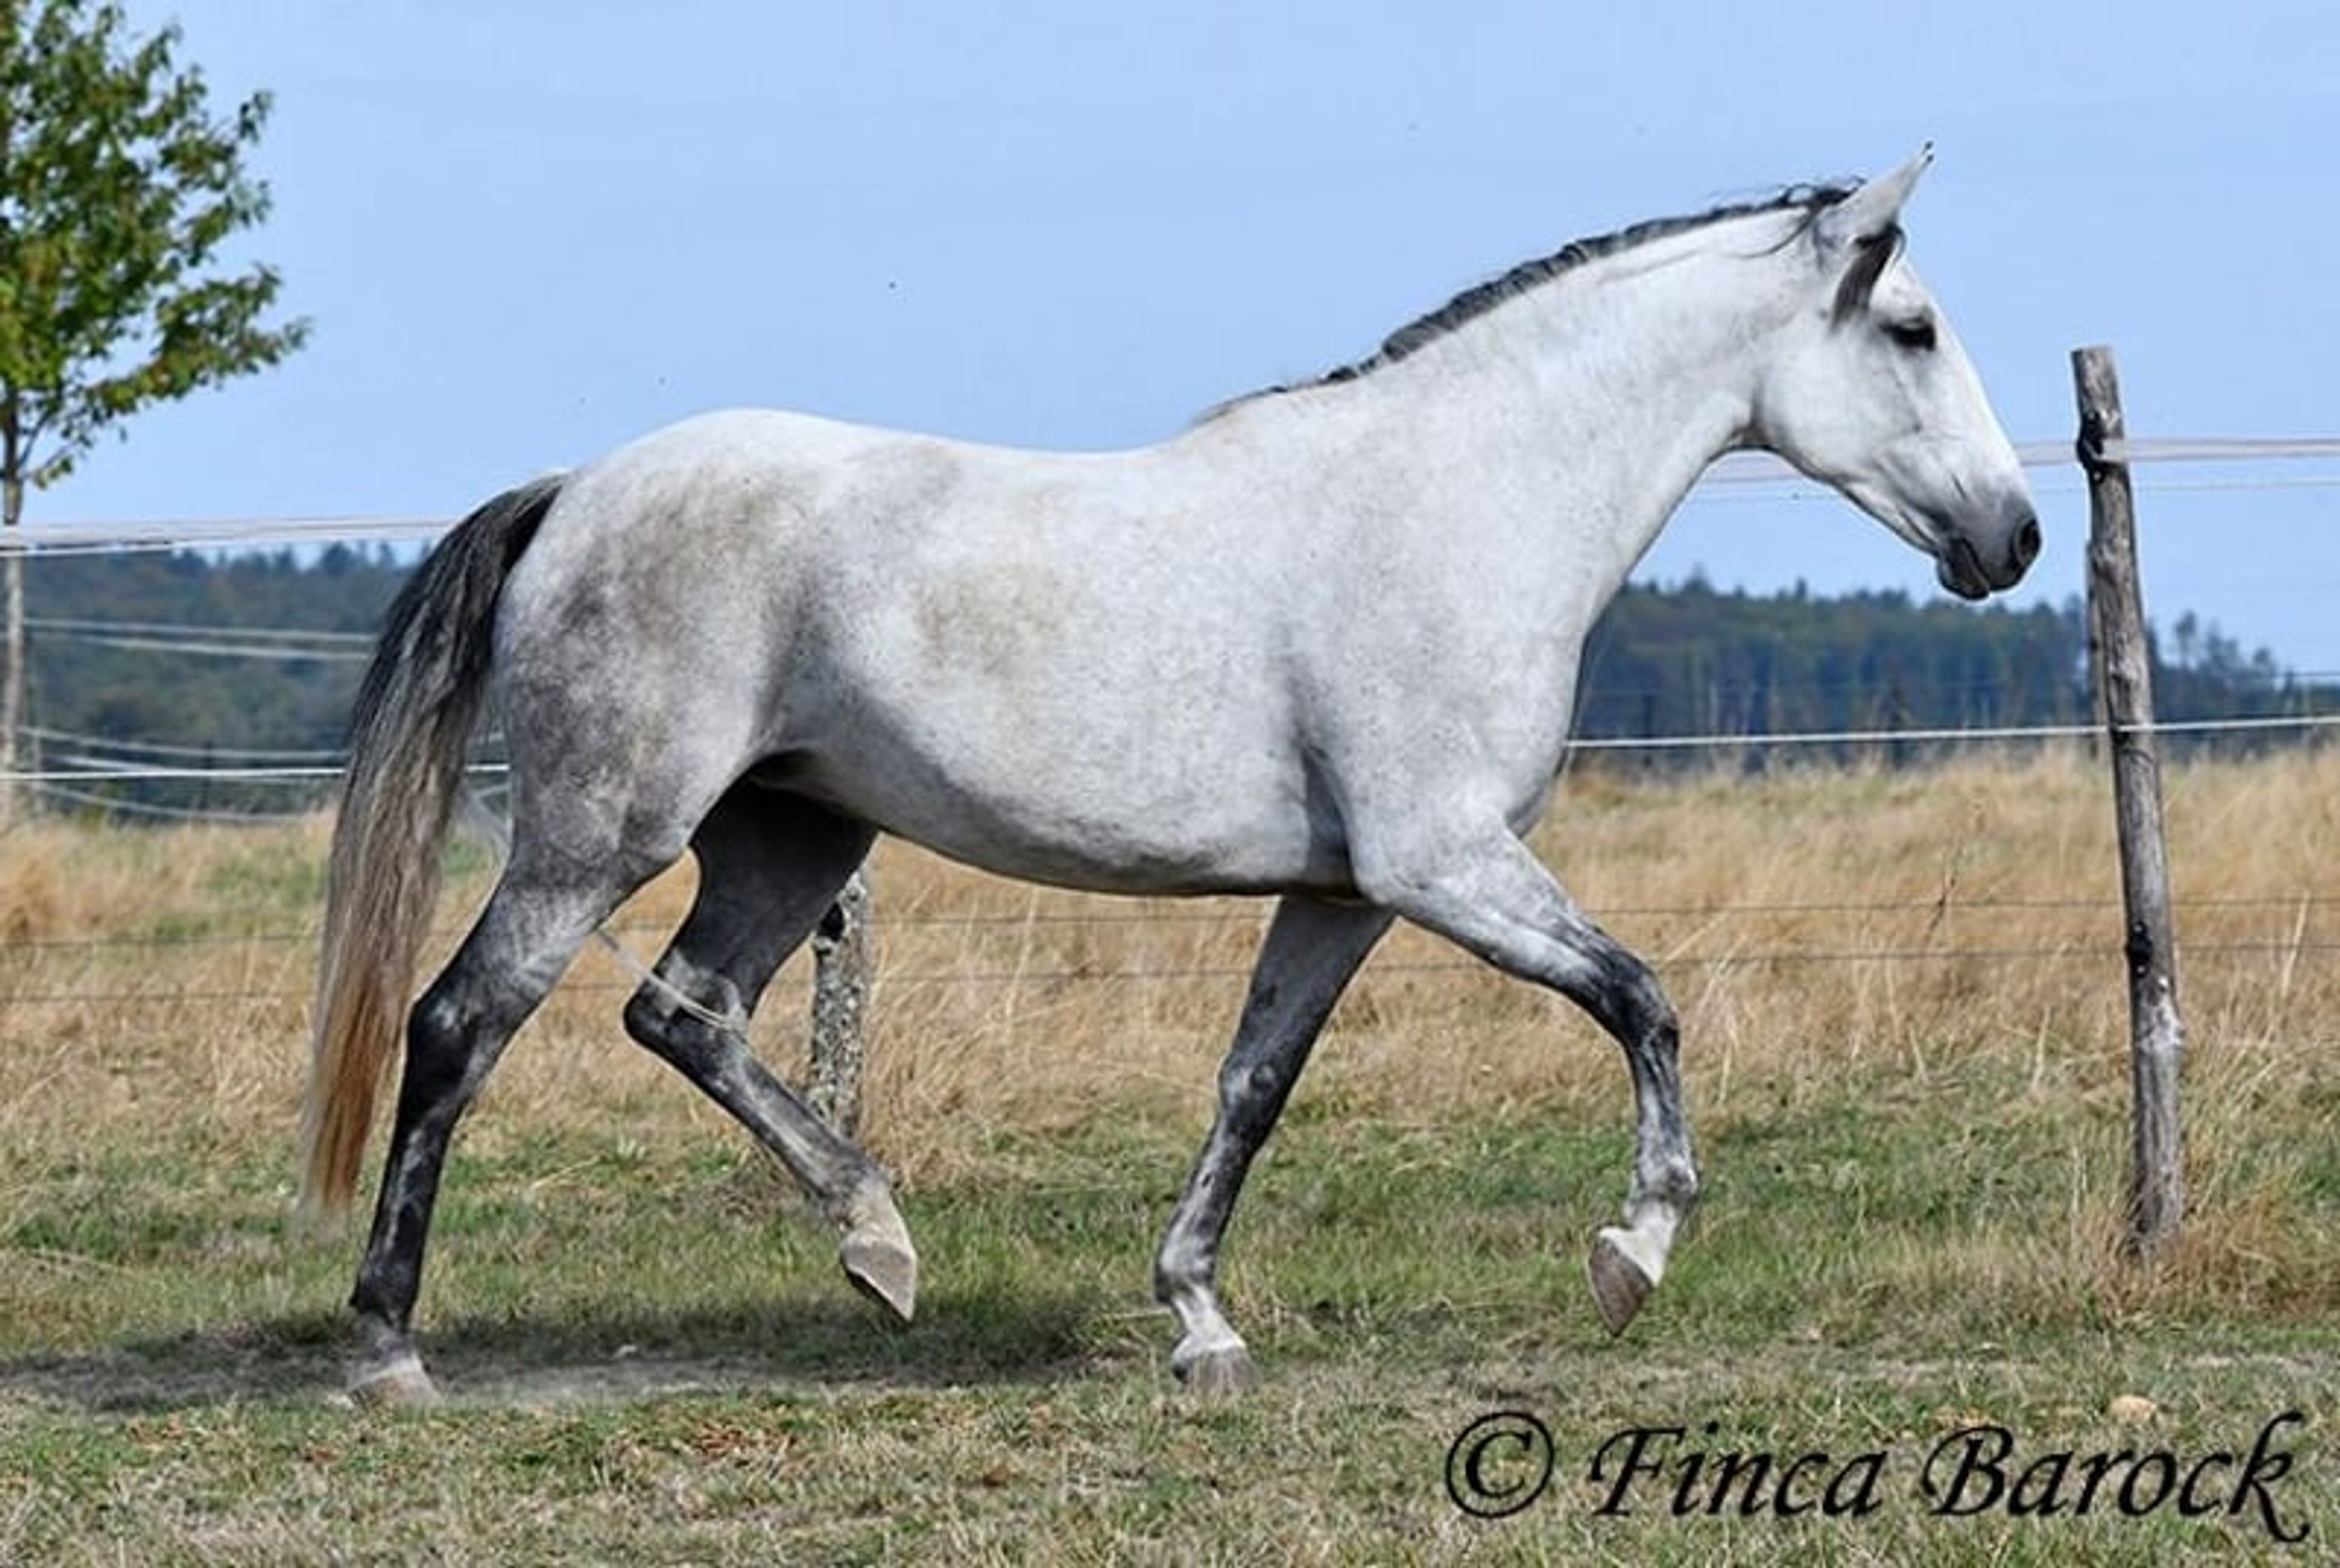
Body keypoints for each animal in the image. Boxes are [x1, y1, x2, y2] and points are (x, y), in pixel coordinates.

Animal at [302, 146, 2039, 1403]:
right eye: (1910, 329)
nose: (2010, 535)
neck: (1462, 501)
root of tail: (578, 490)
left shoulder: (1346, 894)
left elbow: (1252, 1083)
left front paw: (1201, 1323)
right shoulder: (1444, 863)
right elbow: (1643, 999)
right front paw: (1635, 1251)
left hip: (793, 838)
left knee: (682, 1014)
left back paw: (881, 1242)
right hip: (599, 834)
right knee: (459, 1023)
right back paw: (389, 1348)